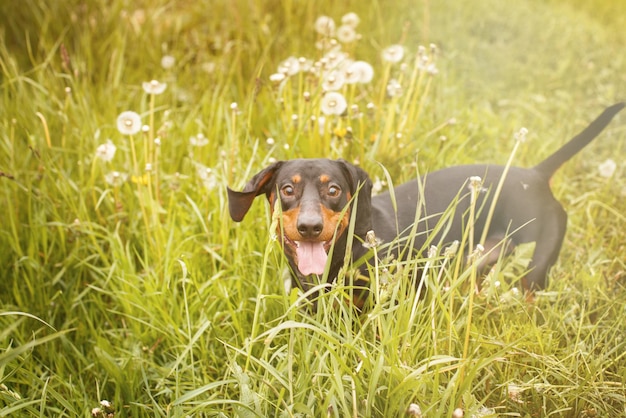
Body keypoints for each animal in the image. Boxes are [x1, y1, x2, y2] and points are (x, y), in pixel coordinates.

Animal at [227, 103, 620, 308]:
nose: (310, 227)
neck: (348, 251)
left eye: (334, 190)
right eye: (287, 189)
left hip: (536, 270)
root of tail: (534, 176)